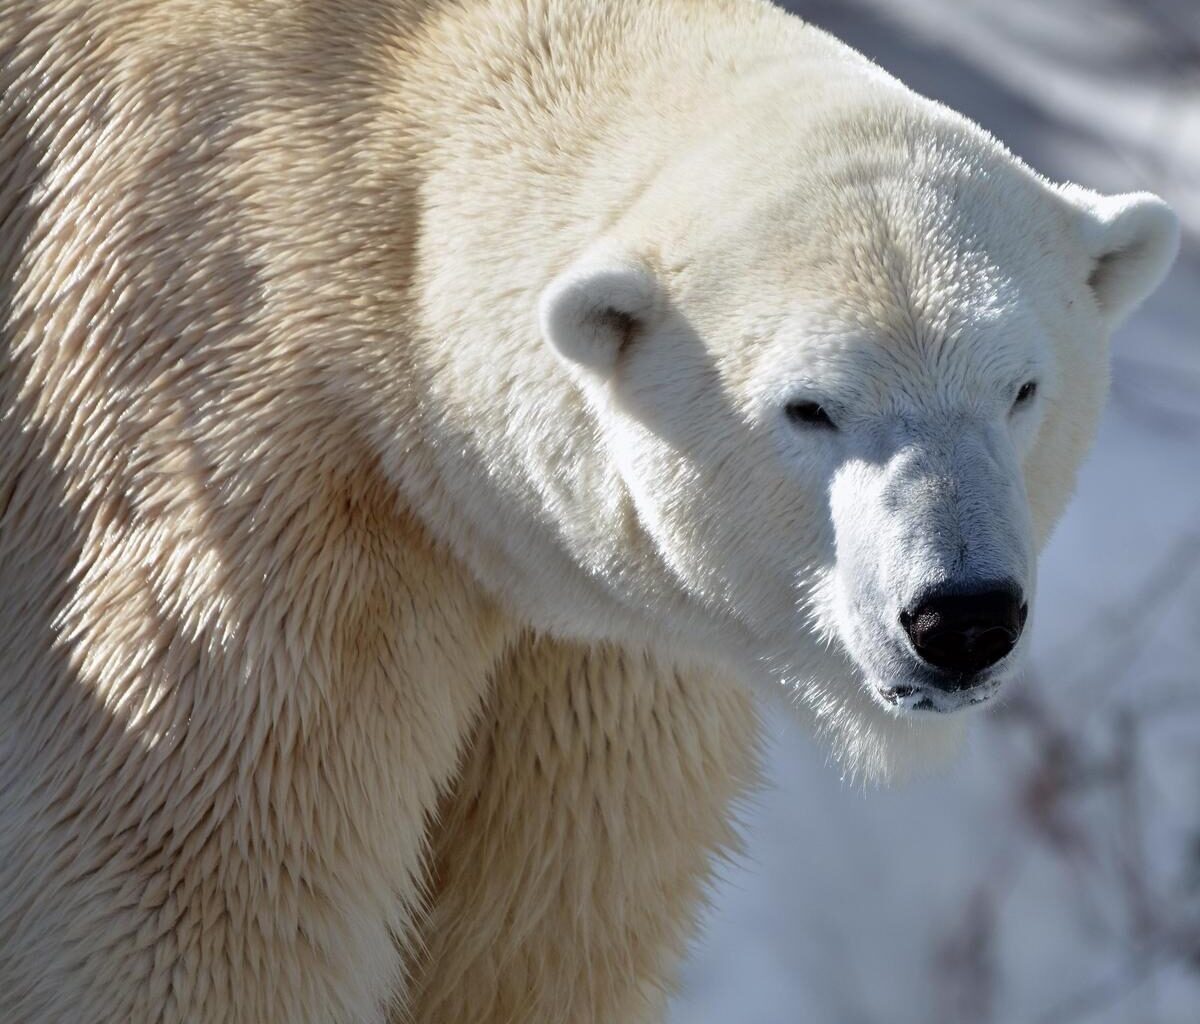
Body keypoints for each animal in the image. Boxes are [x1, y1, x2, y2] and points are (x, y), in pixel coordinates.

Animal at [0, 0, 1178, 1021]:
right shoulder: (233, 487)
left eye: (1021, 388)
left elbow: (543, 924)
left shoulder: (593, 649)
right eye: (810, 405)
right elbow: (193, 912)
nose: (961, 616)